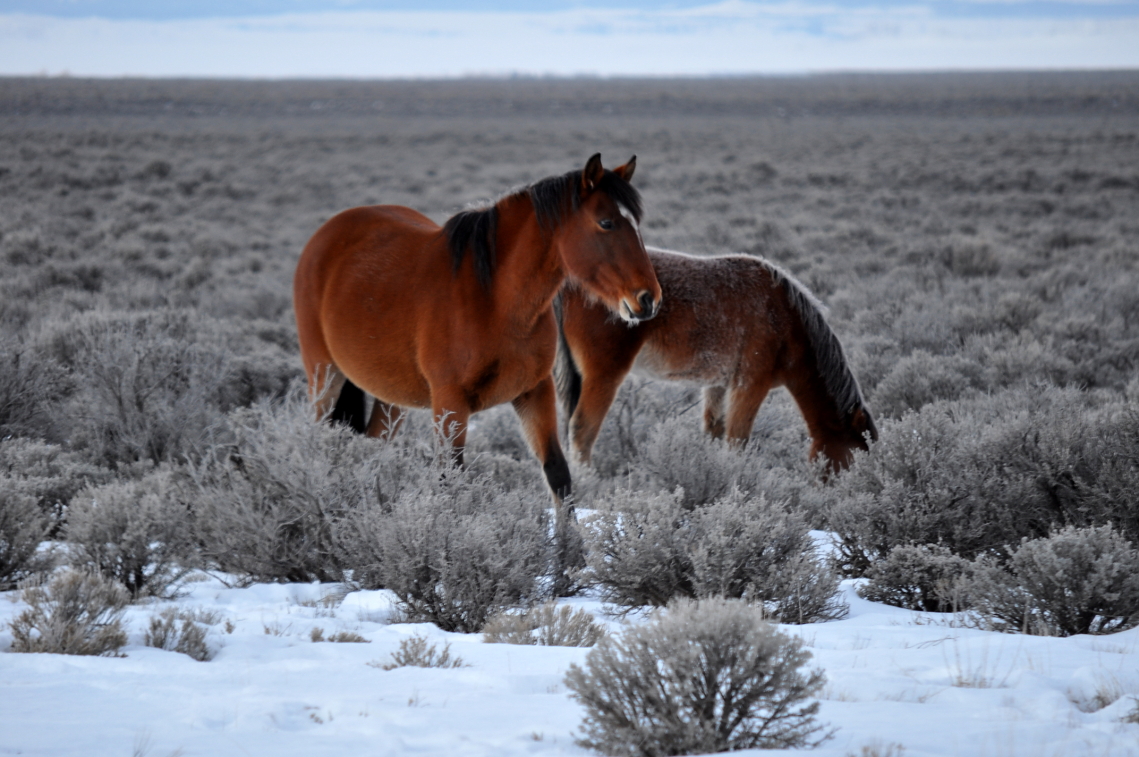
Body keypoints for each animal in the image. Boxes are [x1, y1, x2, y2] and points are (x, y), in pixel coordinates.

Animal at [293, 152, 665, 578]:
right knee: (318, 445)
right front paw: (449, 554)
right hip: (324, 377)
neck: (494, 299)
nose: (648, 299)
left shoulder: (534, 391)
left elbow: (558, 472)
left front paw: (573, 561)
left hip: (390, 398)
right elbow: (450, 477)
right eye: (606, 222)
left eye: (636, 223)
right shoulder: (450, 402)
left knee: (375, 449)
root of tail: (327, 234)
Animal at [555, 248, 874, 473]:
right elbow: (737, 442)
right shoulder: (749, 386)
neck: (786, 318)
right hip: (605, 375)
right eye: (855, 457)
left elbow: (714, 434)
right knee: (582, 432)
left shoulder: (718, 385)